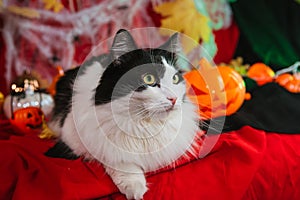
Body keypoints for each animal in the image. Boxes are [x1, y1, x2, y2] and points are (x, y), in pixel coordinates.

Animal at [48, 29, 200, 200]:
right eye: (149, 78)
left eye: (175, 79)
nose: (173, 99)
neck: (144, 124)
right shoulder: (74, 136)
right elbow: (116, 157)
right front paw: (134, 187)